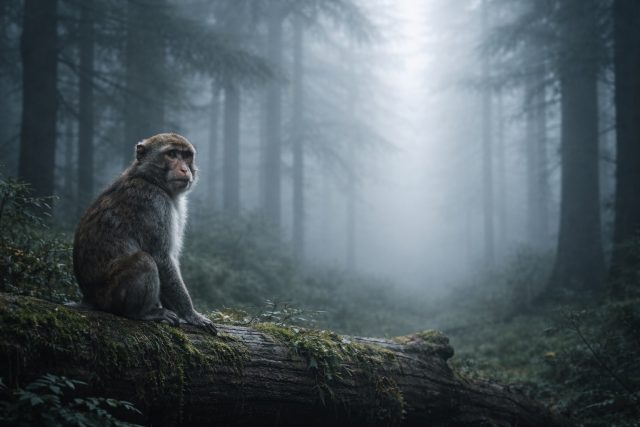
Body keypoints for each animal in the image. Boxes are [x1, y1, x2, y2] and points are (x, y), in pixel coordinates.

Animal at [73, 133, 217, 334]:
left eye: (186, 156)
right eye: (172, 154)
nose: (184, 169)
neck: (150, 179)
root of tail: (90, 298)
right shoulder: (153, 202)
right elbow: (161, 258)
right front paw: (192, 315)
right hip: (111, 296)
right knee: (144, 260)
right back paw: (142, 313)